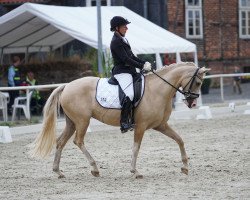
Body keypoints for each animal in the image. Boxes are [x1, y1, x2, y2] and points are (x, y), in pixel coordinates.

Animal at [28, 62, 209, 178]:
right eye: (197, 82)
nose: (192, 103)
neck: (158, 90)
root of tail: (67, 86)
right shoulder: (141, 126)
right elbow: (136, 147)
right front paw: (135, 172)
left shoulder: (160, 125)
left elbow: (179, 140)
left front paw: (185, 167)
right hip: (82, 121)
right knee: (78, 141)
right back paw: (95, 168)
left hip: (72, 122)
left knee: (60, 142)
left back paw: (58, 171)